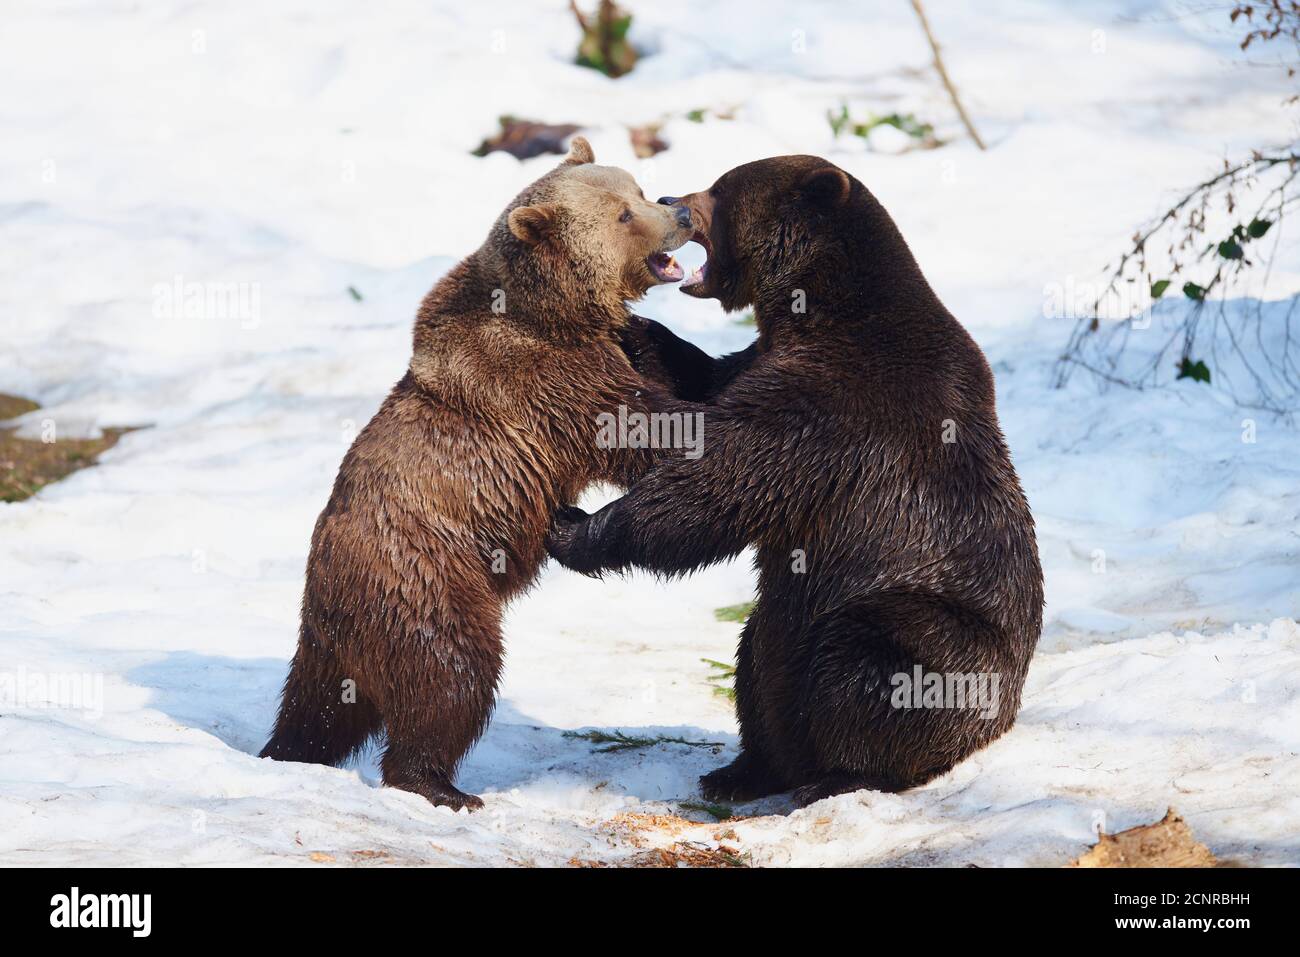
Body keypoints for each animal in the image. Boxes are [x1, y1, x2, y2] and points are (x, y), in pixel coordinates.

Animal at [257, 138, 696, 811]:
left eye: (639, 189)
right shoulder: (545, 380)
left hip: (333, 641)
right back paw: (439, 785)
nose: (682, 212)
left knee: (318, 710)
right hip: (427, 580)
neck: (556, 313)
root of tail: (326, 597)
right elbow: (637, 426)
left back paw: (288, 751)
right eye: (624, 213)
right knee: (453, 674)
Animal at [548, 155, 1045, 806]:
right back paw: (742, 771)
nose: (673, 197)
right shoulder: (765, 361)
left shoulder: (840, 400)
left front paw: (573, 527)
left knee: (873, 665)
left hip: (933, 626)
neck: (815, 310)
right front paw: (636, 329)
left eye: (719, 189)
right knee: (756, 661)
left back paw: (842, 773)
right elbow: (704, 389)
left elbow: (720, 479)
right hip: (780, 627)